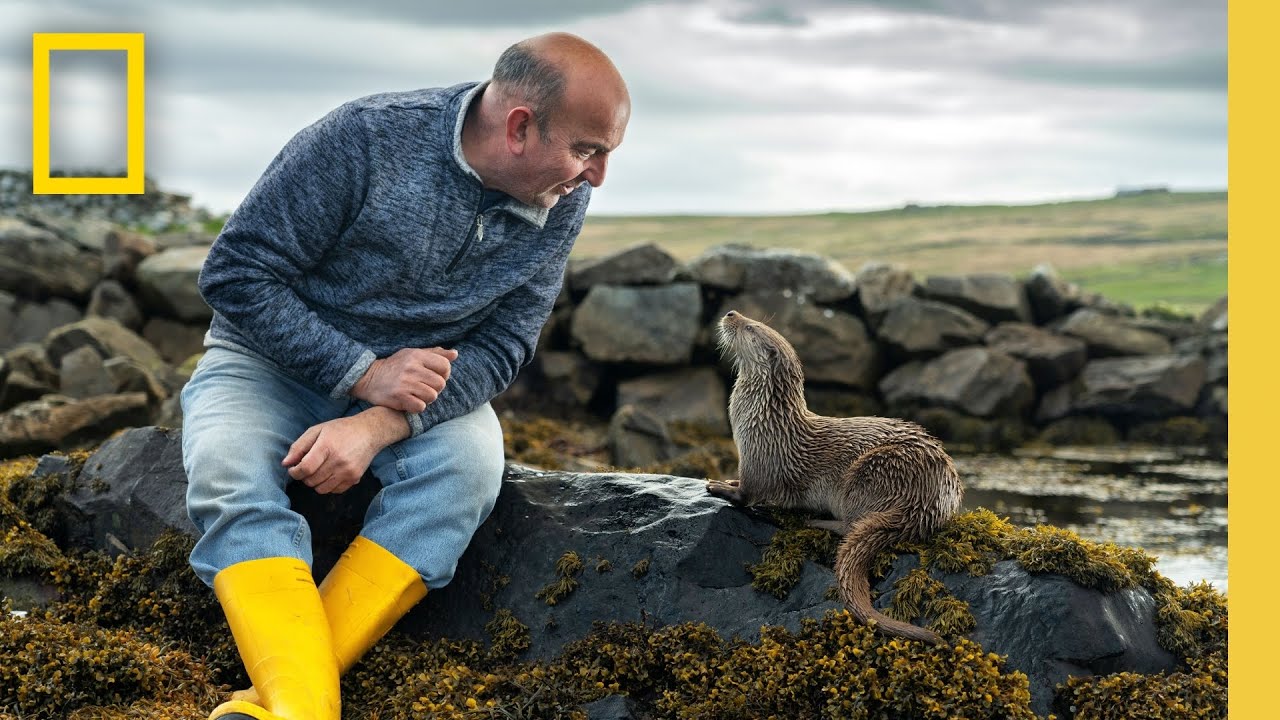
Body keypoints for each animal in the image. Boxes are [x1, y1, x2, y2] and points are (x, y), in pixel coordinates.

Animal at [709, 310, 963, 645]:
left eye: (751, 327)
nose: (730, 314)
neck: (764, 419)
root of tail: (929, 503)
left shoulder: (759, 458)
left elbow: (748, 494)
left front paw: (719, 487)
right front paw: (726, 480)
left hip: (869, 473)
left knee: (851, 523)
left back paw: (816, 521)